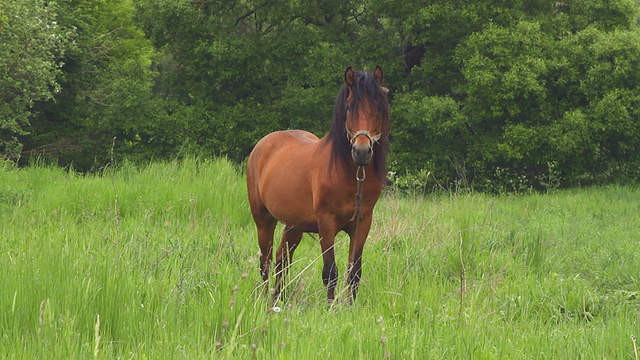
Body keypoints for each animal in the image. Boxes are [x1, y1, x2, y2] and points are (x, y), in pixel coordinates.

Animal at [246, 65, 390, 304]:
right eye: (349, 107)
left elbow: (354, 271)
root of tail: (263, 145)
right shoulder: (326, 223)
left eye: (378, 106)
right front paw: (330, 307)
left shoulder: (362, 223)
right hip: (263, 220)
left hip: (294, 225)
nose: (361, 152)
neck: (348, 174)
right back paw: (266, 299)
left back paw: (279, 298)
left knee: (282, 258)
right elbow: (330, 271)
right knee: (265, 261)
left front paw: (351, 306)